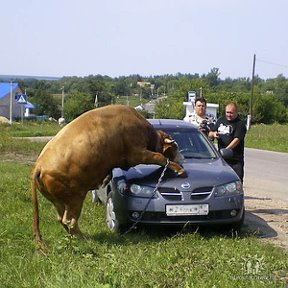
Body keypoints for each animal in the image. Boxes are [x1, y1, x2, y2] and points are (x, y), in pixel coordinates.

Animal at [31, 104, 184, 249]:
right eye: (175, 147)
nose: (182, 158)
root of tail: (39, 164)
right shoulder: (137, 153)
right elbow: (159, 157)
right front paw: (179, 169)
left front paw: (105, 179)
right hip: (75, 198)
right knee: (69, 220)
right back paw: (84, 239)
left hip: (58, 201)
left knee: (61, 219)